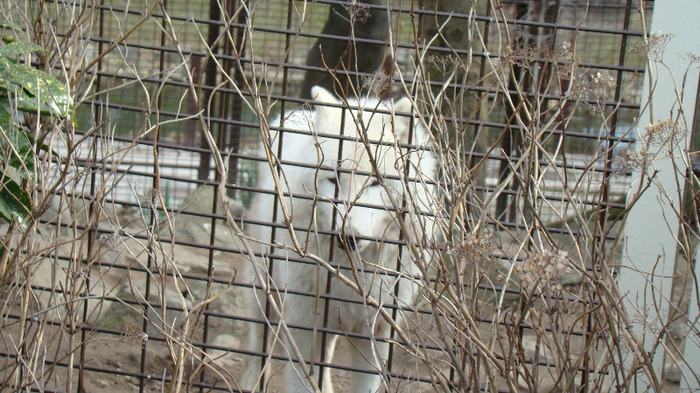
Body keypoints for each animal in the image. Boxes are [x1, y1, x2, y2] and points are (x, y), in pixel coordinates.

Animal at [243, 86, 434, 392]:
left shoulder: (376, 333)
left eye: (375, 183)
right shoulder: (303, 325)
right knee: (256, 352)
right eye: (333, 180)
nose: (349, 238)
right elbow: (305, 384)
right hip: (264, 295)